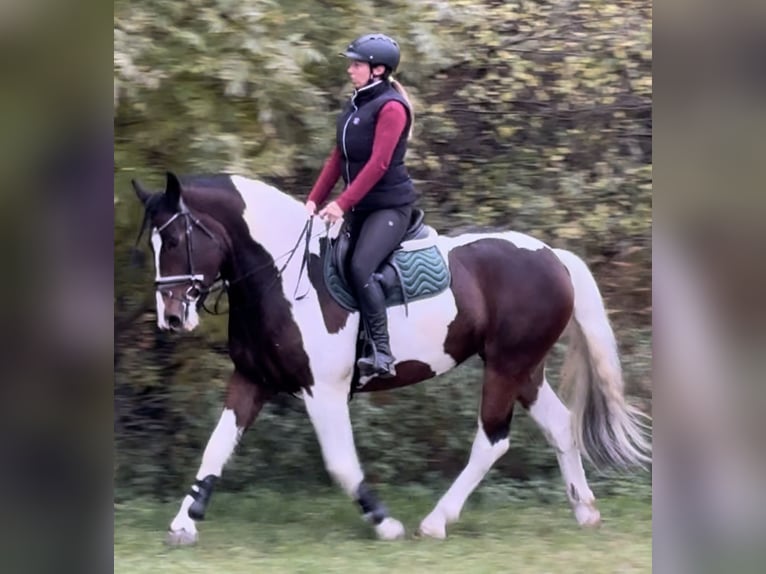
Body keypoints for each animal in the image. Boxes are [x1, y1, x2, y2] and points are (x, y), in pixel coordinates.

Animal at [132, 170, 656, 544]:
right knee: (560, 425)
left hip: (506, 366)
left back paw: (436, 521)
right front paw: (185, 521)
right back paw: (585, 510)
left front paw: (384, 524)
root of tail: (553, 255)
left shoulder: (323, 391)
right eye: (155, 244)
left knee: (492, 441)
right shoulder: (251, 379)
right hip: (524, 368)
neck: (281, 279)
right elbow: (215, 448)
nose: (171, 318)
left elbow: (342, 464)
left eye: (175, 241)